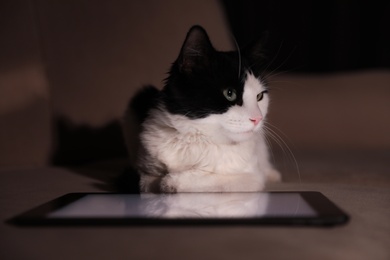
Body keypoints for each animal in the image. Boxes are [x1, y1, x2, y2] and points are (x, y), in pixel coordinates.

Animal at [125, 25, 280, 193]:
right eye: (230, 93)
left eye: (259, 96)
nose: (258, 118)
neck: (196, 138)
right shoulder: (145, 170)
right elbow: (146, 182)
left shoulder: (252, 178)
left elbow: (208, 181)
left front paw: (172, 181)